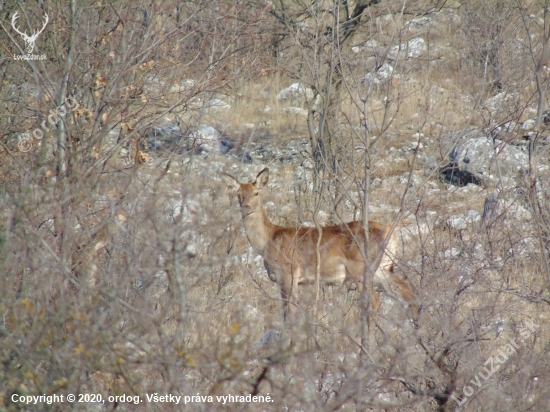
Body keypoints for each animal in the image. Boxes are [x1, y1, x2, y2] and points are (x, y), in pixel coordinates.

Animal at [222, 167, 420, 326]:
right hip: (384, 267)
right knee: (408, 291)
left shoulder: (290, 273)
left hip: (362, 267)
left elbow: (291, 313)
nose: (246, 207)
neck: (268, 241)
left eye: (256, 192)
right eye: (238, 194)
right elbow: (284, 313)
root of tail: (390, 230)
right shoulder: (281, 281)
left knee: (374, 301)